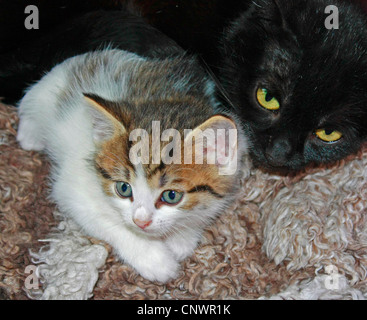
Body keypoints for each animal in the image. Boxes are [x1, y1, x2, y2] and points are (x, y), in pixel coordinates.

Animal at [16, 48, 247, 282]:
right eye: (123, 188)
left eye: (171, 196)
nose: (141, 221)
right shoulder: (74, 188)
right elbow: (105, 222)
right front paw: (155, 260)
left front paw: (182, 238)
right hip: (44, 95)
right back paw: (29, 135)